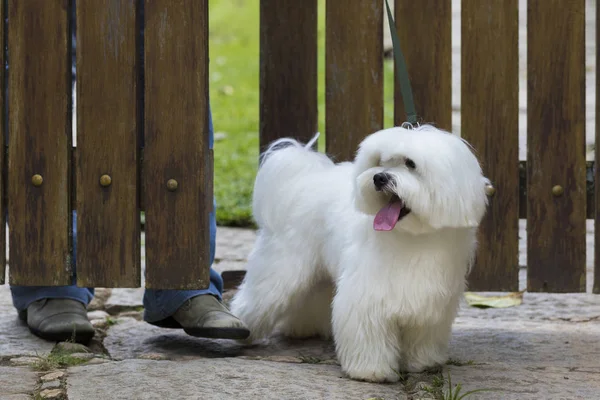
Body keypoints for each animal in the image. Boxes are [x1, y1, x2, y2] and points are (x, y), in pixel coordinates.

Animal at [229, 124, 488, 382]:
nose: (380, 177)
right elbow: (368, 333)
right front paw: (372, 371)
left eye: (410, 164)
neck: (412, 237)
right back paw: (241, 330)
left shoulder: (431, 303)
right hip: (281, 269)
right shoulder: (366, 296)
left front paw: (423, 362)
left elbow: (423, 336)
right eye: (380, 161)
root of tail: (304, 180)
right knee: (257, 299)